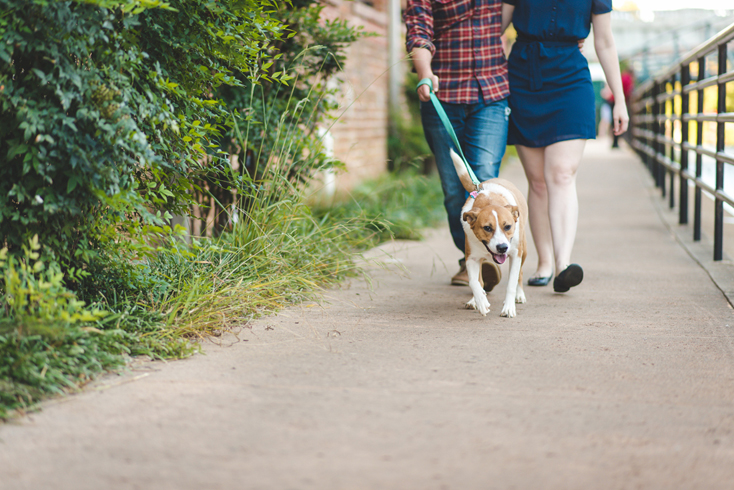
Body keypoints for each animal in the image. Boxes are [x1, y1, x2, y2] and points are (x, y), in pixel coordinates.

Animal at [448, 149, 528, 318]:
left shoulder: (515, 254)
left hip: (523, 250)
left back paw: (519, 295)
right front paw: (480, 301)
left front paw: (509, 308)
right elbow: (474, 281)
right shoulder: (471, 257)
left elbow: (511, 282)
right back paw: (475, 300)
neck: (490, 201)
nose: (502, 248)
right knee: (479, 279)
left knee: (520, 273)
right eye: (487, 228)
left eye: (508, 226)